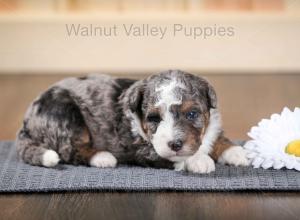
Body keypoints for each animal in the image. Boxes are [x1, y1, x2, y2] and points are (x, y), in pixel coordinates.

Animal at [15, 70, 250, 174]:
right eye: (153, 118)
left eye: (192, 114)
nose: (175, 144)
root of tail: (27, 122)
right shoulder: (144, 150)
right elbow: (175, 157)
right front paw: (200, 160)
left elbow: (217, 138)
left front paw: (237, 152)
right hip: (67, 116)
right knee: (70, 150)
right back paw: (102, 158)